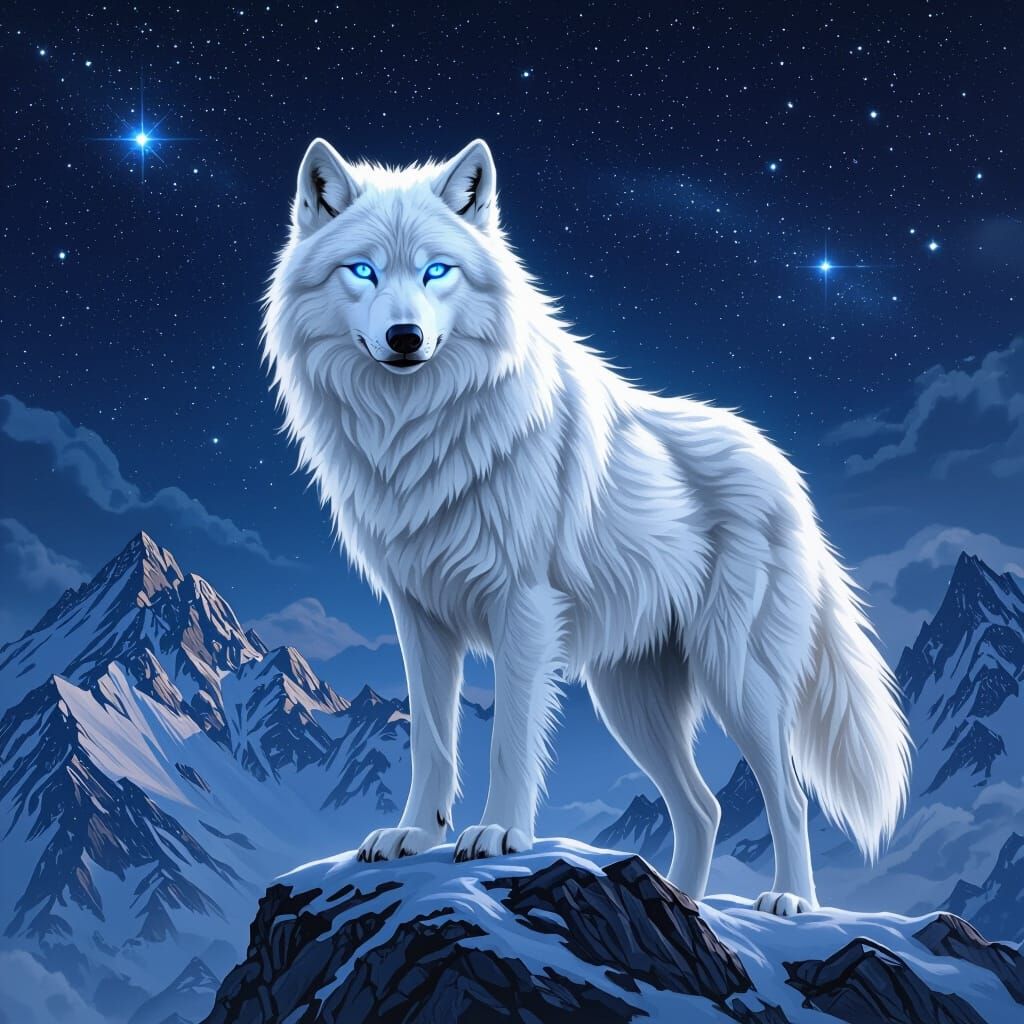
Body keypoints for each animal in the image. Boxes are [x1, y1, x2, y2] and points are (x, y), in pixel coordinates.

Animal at [263, 137, 911, 915]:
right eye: (362, 270)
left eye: (436, 271)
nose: (405, 336)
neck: (419, 429)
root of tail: (787, 474)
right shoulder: (418, 615)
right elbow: (432, 742)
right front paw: (413, 835)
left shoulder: (523, 606)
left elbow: (508, 737)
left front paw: (499, 833)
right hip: (630, 698)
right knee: (704, 808)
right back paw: (684, 905)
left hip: (736, 676)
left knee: (787, 796)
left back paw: (789, 901)